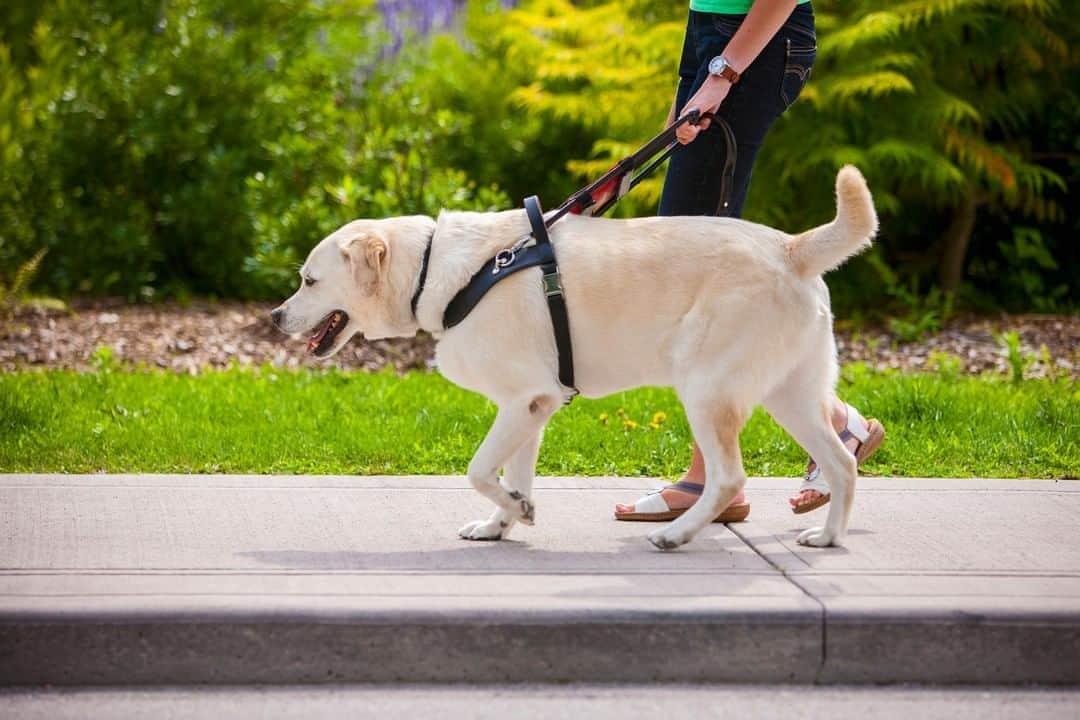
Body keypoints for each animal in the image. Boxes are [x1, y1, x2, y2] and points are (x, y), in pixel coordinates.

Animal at [272, 167, 876, 552]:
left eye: (309, 280)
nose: (275, 317)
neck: (432, 268)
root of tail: (791, 249)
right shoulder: (532, 406)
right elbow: (511, 471)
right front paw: (504, 520)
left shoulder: (524, 399)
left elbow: (477, 469)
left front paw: (514, 511)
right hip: (790, 394)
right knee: (841, 463)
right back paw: (829, 535)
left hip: (706, 389)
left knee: (728, 477)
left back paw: (676, 534)